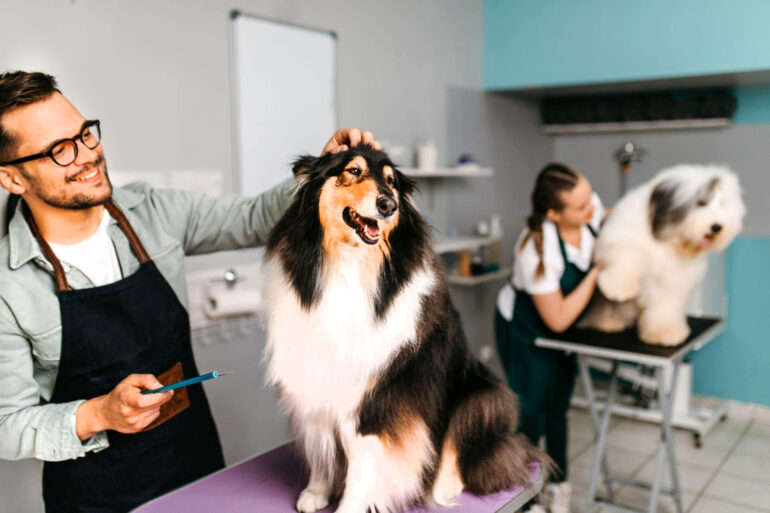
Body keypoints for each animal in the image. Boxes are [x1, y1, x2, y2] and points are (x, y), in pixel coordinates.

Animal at [264, 145, 544, 512]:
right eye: (354, 171)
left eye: (392, 182)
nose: (388, 205)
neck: (350, 265)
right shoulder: (317, 383)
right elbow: (321, 443)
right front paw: (317, 491)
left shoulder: (376, 398)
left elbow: (362, 463)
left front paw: (348, 506)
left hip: (484, 397)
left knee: (468, 448)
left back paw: (444, 487)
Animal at [584, 166, 744, 346]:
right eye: (701, 203)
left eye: (722, 204)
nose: (717, 227)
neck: (670, 240)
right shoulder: (619, 239)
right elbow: (629, 256)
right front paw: (618, 288)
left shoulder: (672, 283)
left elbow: (665, 308)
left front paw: (665, 333)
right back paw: (607, 322)